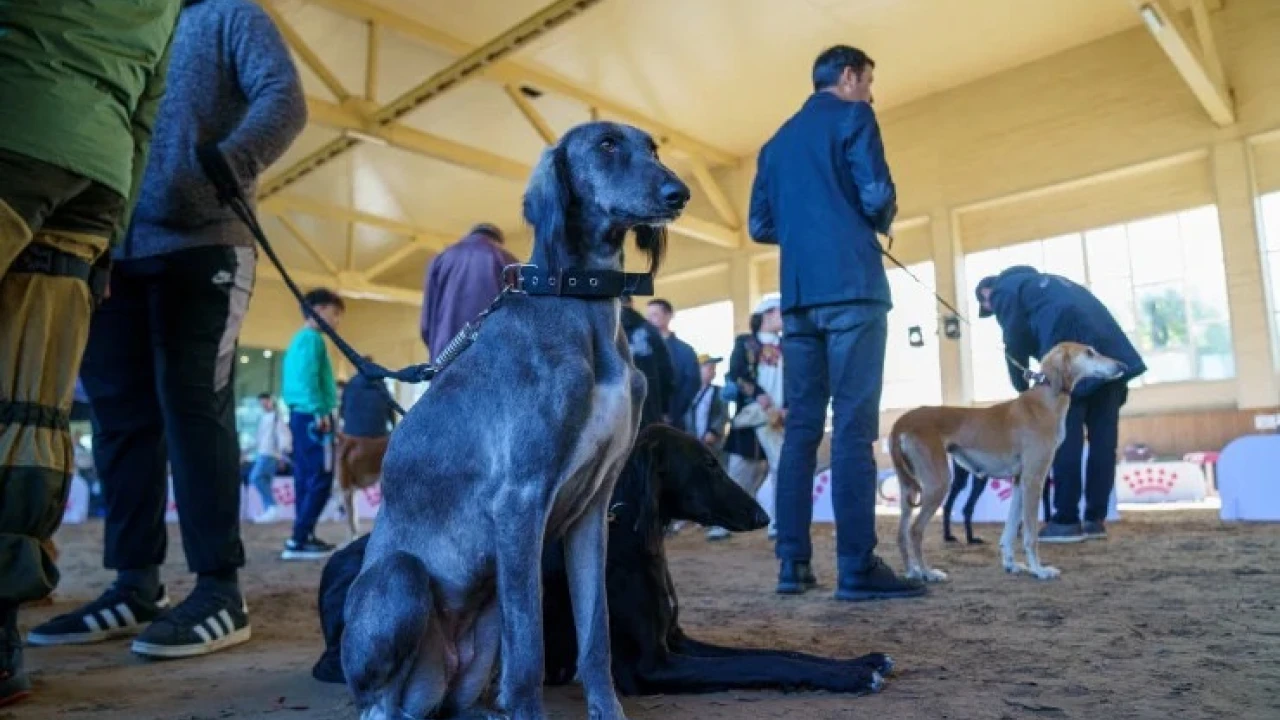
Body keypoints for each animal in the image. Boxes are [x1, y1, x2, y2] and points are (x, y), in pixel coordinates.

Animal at [314, 422, 890, 691]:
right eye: (706, 463)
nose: (762, 515)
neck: (635, 543)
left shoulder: (677, 640)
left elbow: (777, 653)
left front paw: (862, 661)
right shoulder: (653, 665)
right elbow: (765, 664)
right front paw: (852, 676)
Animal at [340, 120, 691, 712]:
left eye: (653, 147)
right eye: (606, 144)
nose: (678, 193)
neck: (581, 304)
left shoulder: (592, 510)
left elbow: (595, 639)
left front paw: (607, 709)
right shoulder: (520, 501)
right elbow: (529, 653)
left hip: (480, 630)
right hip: (403, 580)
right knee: (379, 703)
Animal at [890, 338, 1121, 579]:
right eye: (1089, 353)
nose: (1121, 366)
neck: (1045, 400)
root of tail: (902, 422)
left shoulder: (1019, 481)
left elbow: (1009, 530)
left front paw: (1011, 564)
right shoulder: (1033, 480)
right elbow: (1030, 534)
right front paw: (1038, 570)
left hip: (909, 488)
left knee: (902, 533)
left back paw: (912, 572)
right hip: (938, 484)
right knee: (915, 530)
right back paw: (928, 573)